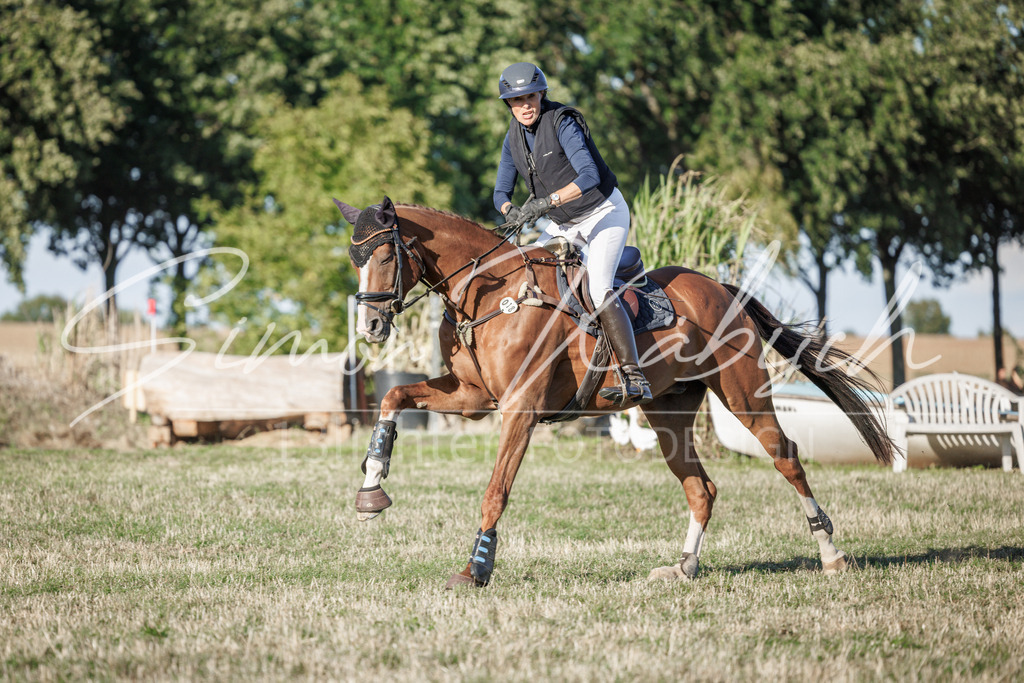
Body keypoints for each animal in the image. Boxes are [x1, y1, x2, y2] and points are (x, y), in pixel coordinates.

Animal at [334, 196, 895, 588]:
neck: (489, 293)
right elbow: (393, 399)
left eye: (384, 255)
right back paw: (684, 567)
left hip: (745, 396)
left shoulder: (519, 409)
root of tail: (721, 288)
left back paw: (830, 554)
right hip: (668, 413)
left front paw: (476, 570)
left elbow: (496, 491)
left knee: (787, 458)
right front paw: (371, 489)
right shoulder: (473, 397)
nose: (371, 326)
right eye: (354, 257)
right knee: (701, 487)